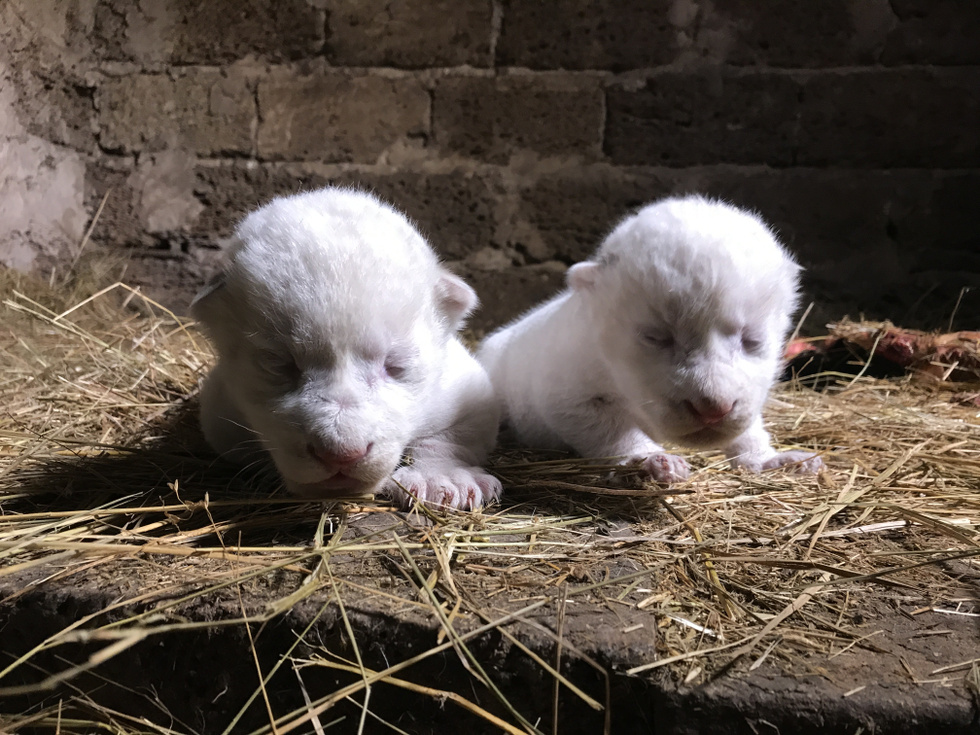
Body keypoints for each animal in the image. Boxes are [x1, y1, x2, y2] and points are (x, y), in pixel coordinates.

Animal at [191, 187, 502, 510]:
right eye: (279, 363)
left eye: (395, 365)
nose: (341, 454)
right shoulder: (219, 412)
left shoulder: (465, 387)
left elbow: (455, 434)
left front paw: (441, 479)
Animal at [478, 195, 823, 482]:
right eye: (656, 337)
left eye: (752, 339)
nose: (713, 409)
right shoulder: (569, 390)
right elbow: (610, 429)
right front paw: (651, 459)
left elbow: (749, 423)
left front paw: (771, 459)